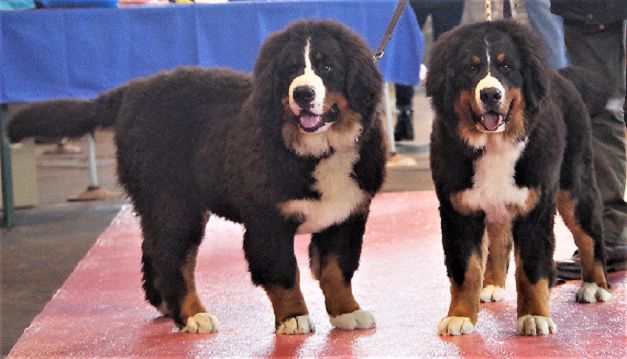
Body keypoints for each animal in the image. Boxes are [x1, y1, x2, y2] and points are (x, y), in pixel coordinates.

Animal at [7, 19, 386, 334]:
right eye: (290, 69)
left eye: (327, 66)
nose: (302, 93)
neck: (318, 150)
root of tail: (132, 89)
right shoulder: (267, 221)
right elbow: (283, 272)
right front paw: (293, 318)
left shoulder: (344, 217)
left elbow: (336, 269)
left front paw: (347, 311)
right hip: (173, 203)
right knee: (173, 257)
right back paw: (192, 314)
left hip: (170, 205)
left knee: (156, 250)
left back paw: (166, 305)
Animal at [426, 20, 612, 338]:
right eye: (471, 67)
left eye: (506, 66)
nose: (490, 94)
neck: (493, 145)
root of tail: (560, 76)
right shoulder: (459, 210)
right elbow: (466, 270)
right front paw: (460, 316)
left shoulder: (535, 208)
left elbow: (532, 269)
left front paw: (534, 316)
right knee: (500, 239)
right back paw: (492, 285)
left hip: (574, 187)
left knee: (590, 234)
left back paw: (594, 286)